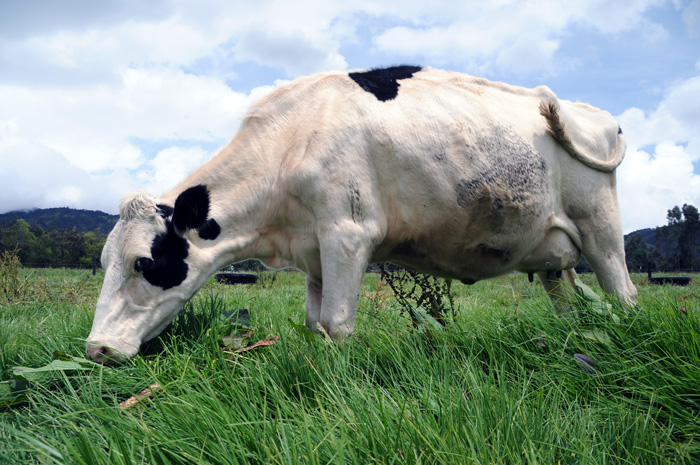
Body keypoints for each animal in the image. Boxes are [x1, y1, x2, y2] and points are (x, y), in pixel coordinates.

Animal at [85, 65, 636, 362]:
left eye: (143, 263)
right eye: (104, 262)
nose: (95, 350)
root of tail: (589, 111)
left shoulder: (347, 234)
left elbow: (335, 323)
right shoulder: (312, 251)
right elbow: (314, 324)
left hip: (600, 225)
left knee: (624, 293)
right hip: (552, 253)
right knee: (566, 299)